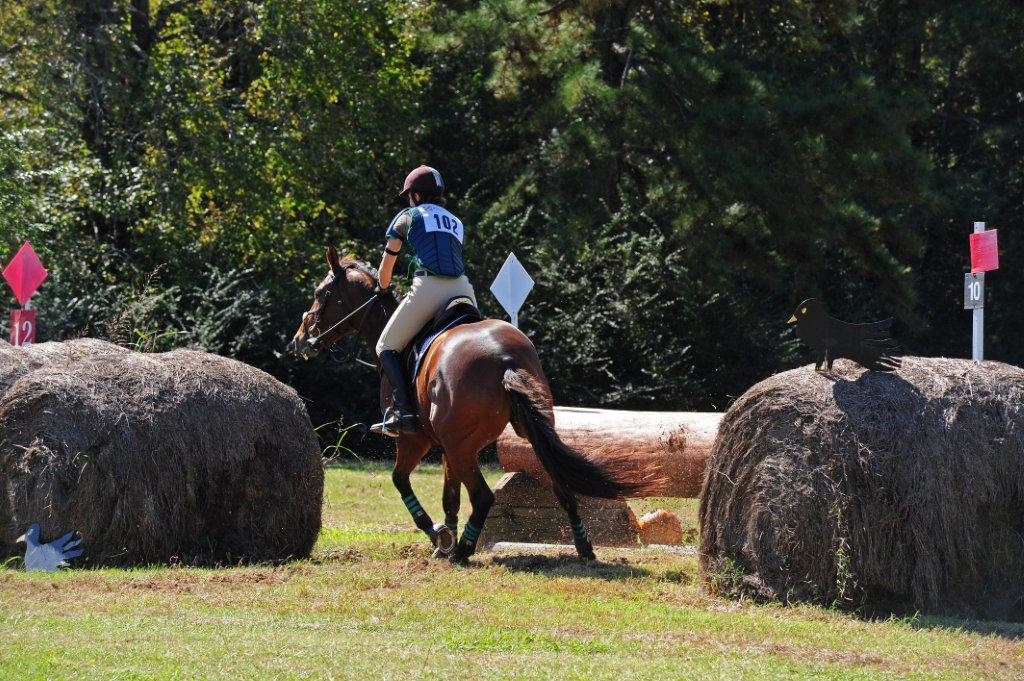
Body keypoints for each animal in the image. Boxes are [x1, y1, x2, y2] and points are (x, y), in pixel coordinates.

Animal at [288, 246, 655, 561]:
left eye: (321, 294)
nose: (299, 341)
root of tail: (504, 359)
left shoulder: (415, 439)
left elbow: (400, 480)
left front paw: (438, 535)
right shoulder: (446, 446)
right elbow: (450, 497)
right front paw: (444, 541)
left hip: (462, 447)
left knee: (483, 496)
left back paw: (464, 550)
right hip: (524, 435)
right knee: (562, 488)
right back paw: (584, 548)